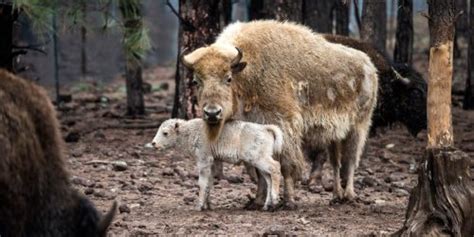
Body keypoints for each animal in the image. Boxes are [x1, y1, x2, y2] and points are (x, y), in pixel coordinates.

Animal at [153, 118, 282, 211]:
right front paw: (208, 206)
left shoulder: (204, 160)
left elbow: (202, 183)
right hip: (259, 163)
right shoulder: (213, 162)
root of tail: (265, 128)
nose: (154, 143)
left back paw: (275, 200)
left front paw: (199, 206)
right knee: (268, 179)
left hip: (258, 159)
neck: (190, 131)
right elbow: (209, 183)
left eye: (165, 133)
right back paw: (266, 206)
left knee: (275, 167)